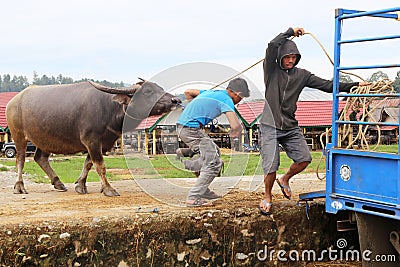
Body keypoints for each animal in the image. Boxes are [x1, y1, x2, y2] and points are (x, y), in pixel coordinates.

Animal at [5, 80, 181, 196]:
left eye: (160, 88)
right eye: (147, 91)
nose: (176, 100)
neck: (110, 108)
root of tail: (12, 102)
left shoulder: (99, 143)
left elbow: (88, 164)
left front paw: (80, 185)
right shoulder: (92, 141)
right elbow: (100, 166)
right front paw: (108, 189)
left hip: (45, 139)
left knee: (40, 157)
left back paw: (59, 183)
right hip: (19, 135)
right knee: (20, 158)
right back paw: (19, 186)